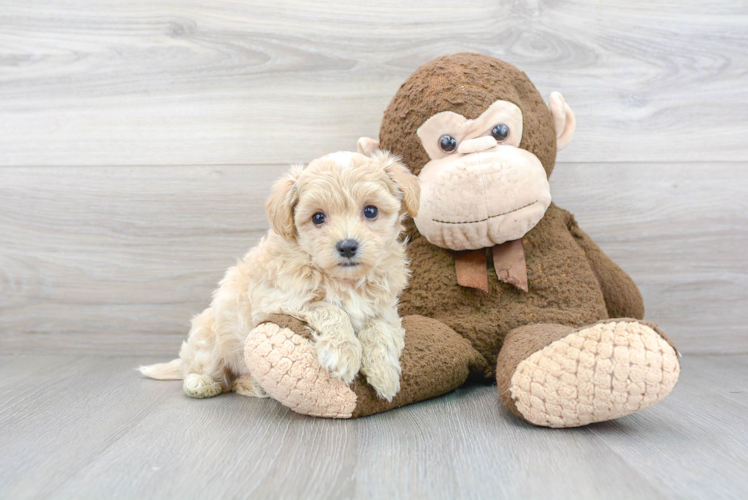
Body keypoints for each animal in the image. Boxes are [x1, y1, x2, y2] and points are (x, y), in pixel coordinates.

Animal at [140, 151, 420, 402]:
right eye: (318, 217)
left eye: (371, 211)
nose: (347, 246)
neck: (344, 280)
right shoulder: (280, 300)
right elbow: (331, 309)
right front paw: (342, 353)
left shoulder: (384, 308)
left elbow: (380, 329)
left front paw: (384, 374)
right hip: (210, 342)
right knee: (208, 374)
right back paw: (202, 384)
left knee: (234, 383)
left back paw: (254, 385)